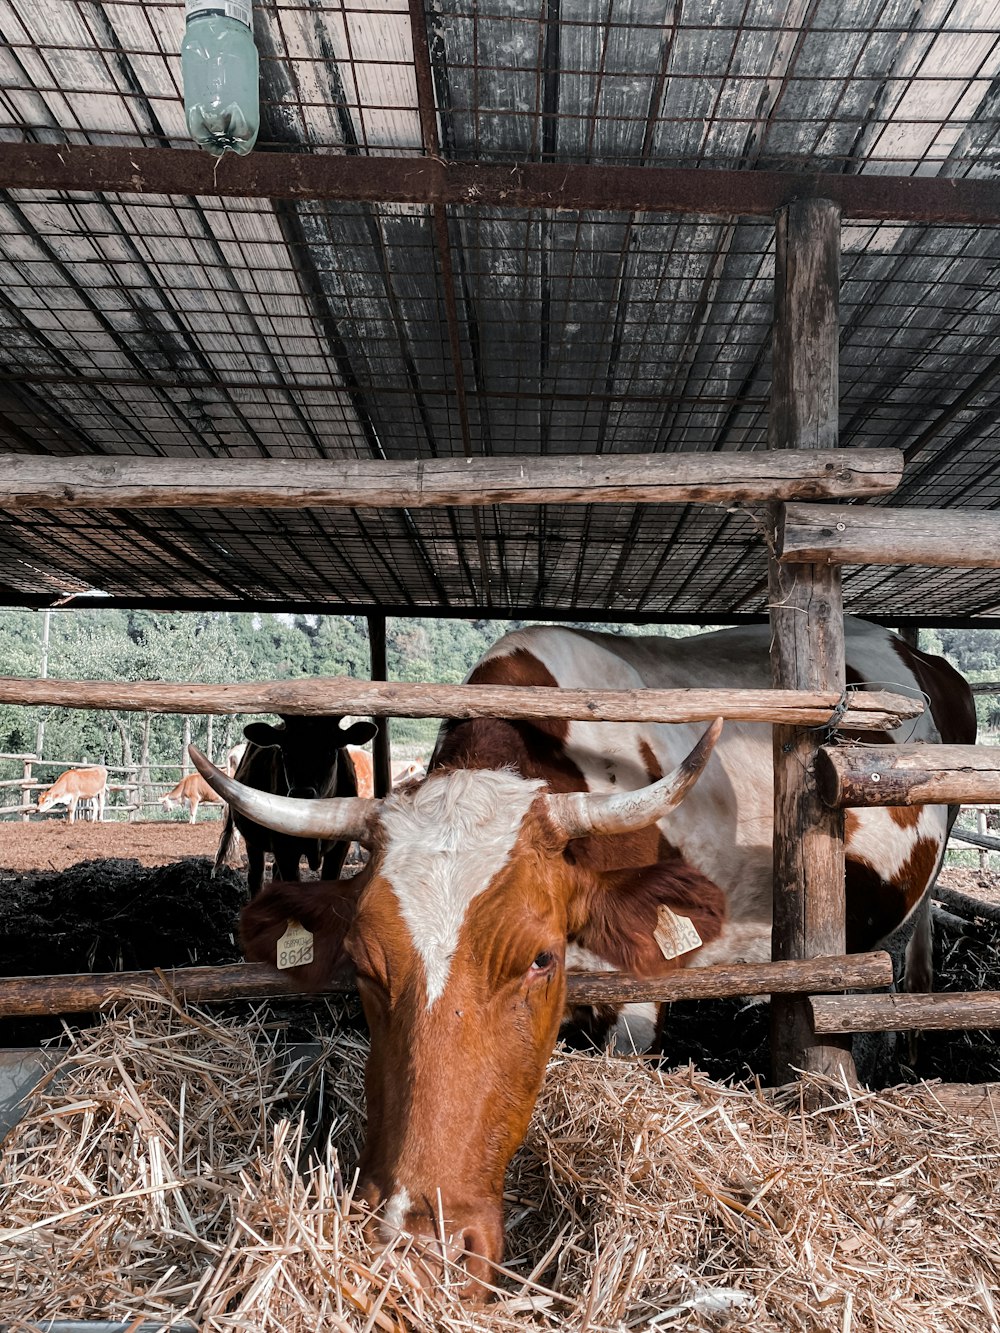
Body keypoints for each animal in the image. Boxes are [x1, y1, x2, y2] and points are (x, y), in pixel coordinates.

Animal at [213, 719, 378, 895]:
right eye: (285, 753)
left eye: (331, 752)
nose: (301, 794)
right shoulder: (284, 847)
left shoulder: (339, 847)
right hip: (253, 840)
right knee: (256, 877)